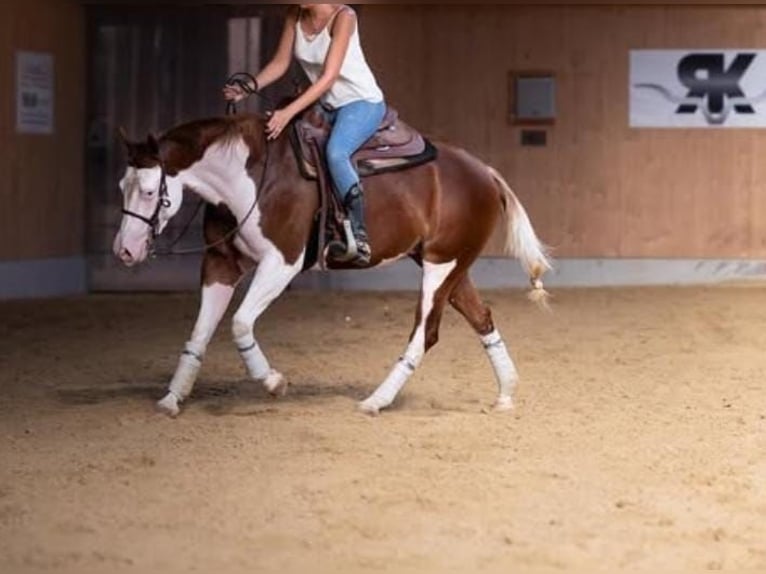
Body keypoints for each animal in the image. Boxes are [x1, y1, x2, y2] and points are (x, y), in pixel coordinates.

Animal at [113, 110, 551, 417]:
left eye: (150, 191)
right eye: (122, 186)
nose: (124, 251)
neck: (249, 178)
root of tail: (486, 173)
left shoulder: (282, 264)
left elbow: (239, 324)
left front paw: (273, 382)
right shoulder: (221, 264)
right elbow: (199, 334)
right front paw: (172, 397)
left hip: (440, 266)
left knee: (425, 333)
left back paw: (376, 400)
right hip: (451, 266)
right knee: (482, 318)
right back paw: (505, 394)